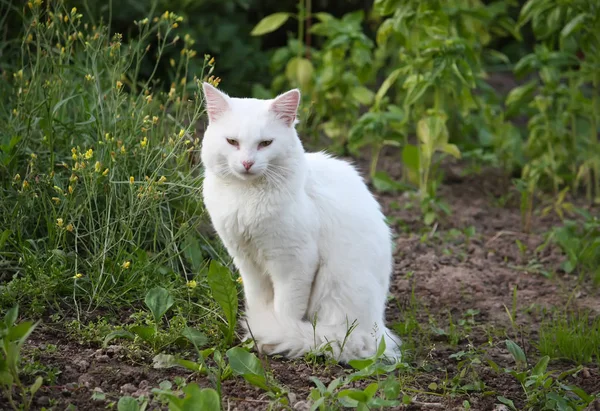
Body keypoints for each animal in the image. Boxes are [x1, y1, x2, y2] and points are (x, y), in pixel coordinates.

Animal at [199, 83, 400, 364]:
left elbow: (285, 312)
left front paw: (271, 334)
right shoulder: (247, 262)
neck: (247, 197)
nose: (247, 163)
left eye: (265, 143)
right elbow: (258, 302)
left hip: (336, 290)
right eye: (232, 142)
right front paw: (254, 336)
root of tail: (376, 331)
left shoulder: (294, 263)